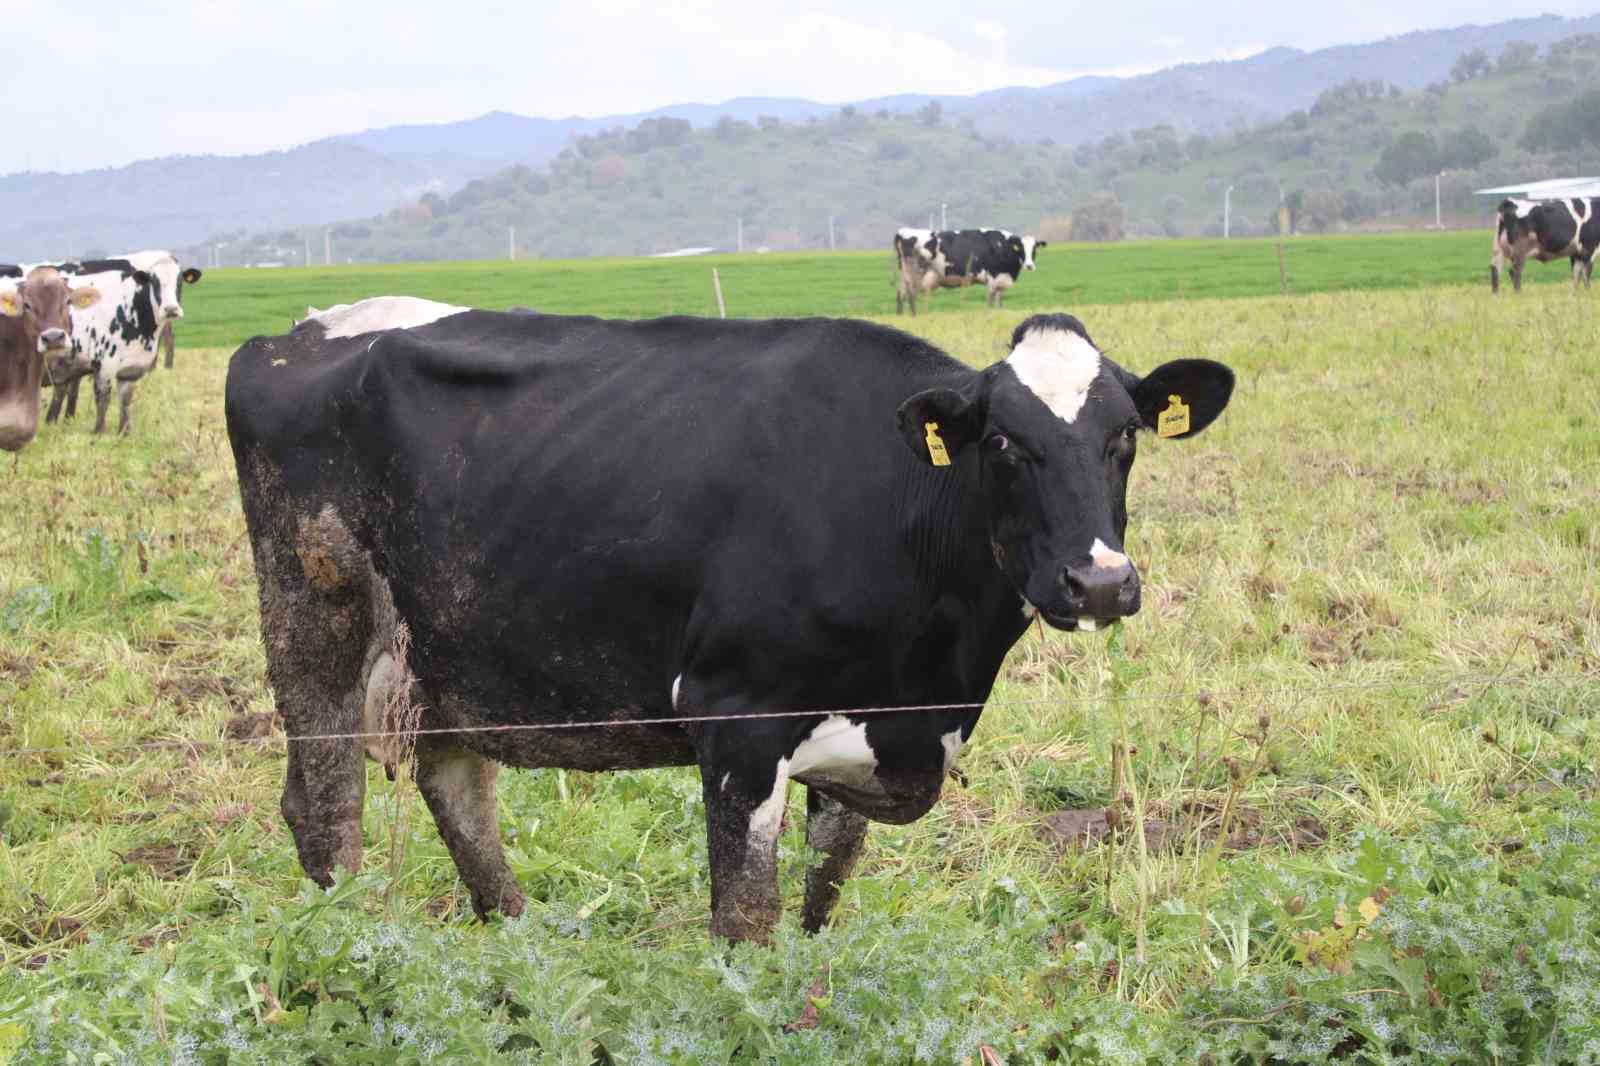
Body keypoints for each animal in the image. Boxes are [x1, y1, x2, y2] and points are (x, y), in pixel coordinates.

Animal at [219, 299, 1228, 941]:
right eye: (1007, 443)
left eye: (1124, 436)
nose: (1099, 584)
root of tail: (293, 334)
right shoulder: (736, 718)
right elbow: (744, 919)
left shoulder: (861, 727)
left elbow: (823, 895)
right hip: (313, 624)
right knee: (324, 809)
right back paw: (356, 949)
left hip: (449, 653)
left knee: (457, 788)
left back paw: (517, 942)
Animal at [896, 222, 1043, 308]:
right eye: (1021, 249)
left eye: (1034, 249)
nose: (1029, 265)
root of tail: (903, 231)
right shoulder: (992, 278)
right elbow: (991, 300)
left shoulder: (1001, 280)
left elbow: (999, 301)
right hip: (913, 273)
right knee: (905, 295)